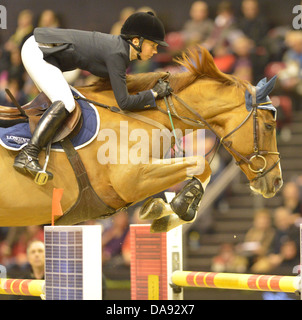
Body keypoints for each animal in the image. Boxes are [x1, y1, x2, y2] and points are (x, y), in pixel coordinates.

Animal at [0, 46, 282, 231]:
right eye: (269, 126)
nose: (276, 182)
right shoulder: (131, 180)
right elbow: (203, 166)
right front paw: (176, 208)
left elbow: (200, 170)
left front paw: (163, 211)